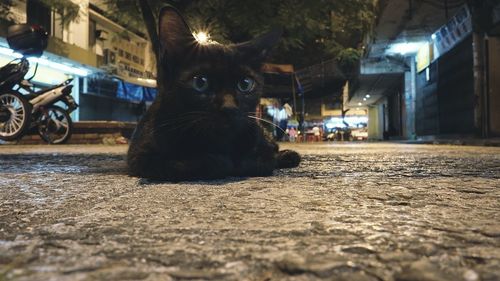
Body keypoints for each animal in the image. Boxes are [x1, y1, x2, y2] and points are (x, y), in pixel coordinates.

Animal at [129, 7, 300, 182]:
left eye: (245, 84)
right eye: (200, 82)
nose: (229, 107)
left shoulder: (259, 142)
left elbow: (261, 160)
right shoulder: (142, 157)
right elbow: (200, 163)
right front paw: (223, 161)